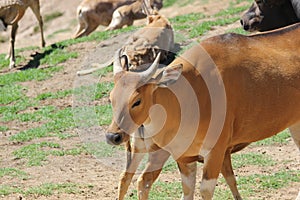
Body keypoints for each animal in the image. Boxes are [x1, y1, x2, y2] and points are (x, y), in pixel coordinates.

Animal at [105, 22, 300, 199]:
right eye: (111, 98)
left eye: (137, 101)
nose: (112, 136)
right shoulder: (184, 157)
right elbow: (188, 191)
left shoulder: (215, 152)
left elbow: (206, 191)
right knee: (132, 178)